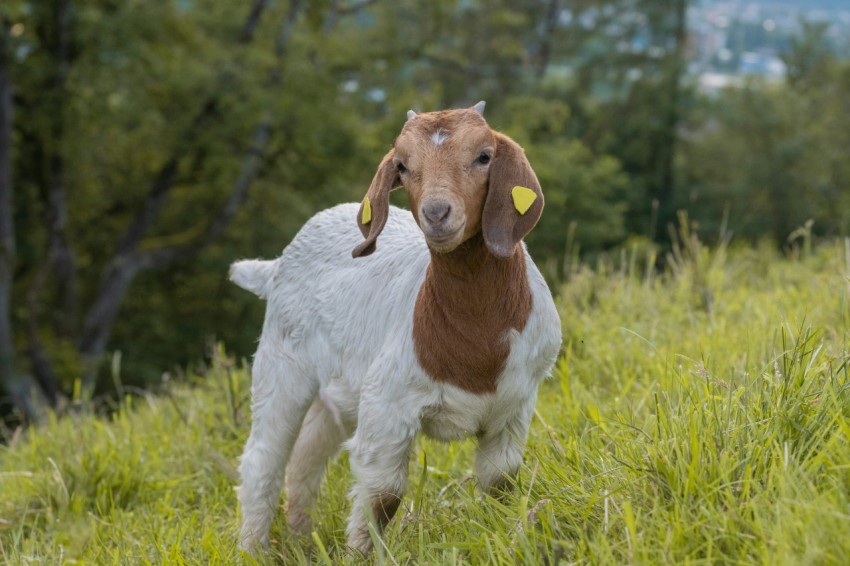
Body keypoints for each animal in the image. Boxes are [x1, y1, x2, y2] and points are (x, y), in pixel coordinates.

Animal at [230, 101, 562, 553]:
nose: (437, 213)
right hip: (281, 366)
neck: (477, 343)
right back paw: (253, 547)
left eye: (484, 156)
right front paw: (360, 553)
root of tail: (276, 265)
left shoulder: (515, 406)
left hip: (337, 392)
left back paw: (302, 541)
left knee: (305, 459)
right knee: (263, 458)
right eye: (402, 166)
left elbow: (500, 482)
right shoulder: (387, 402)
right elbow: (383, 493)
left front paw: (502, 535)